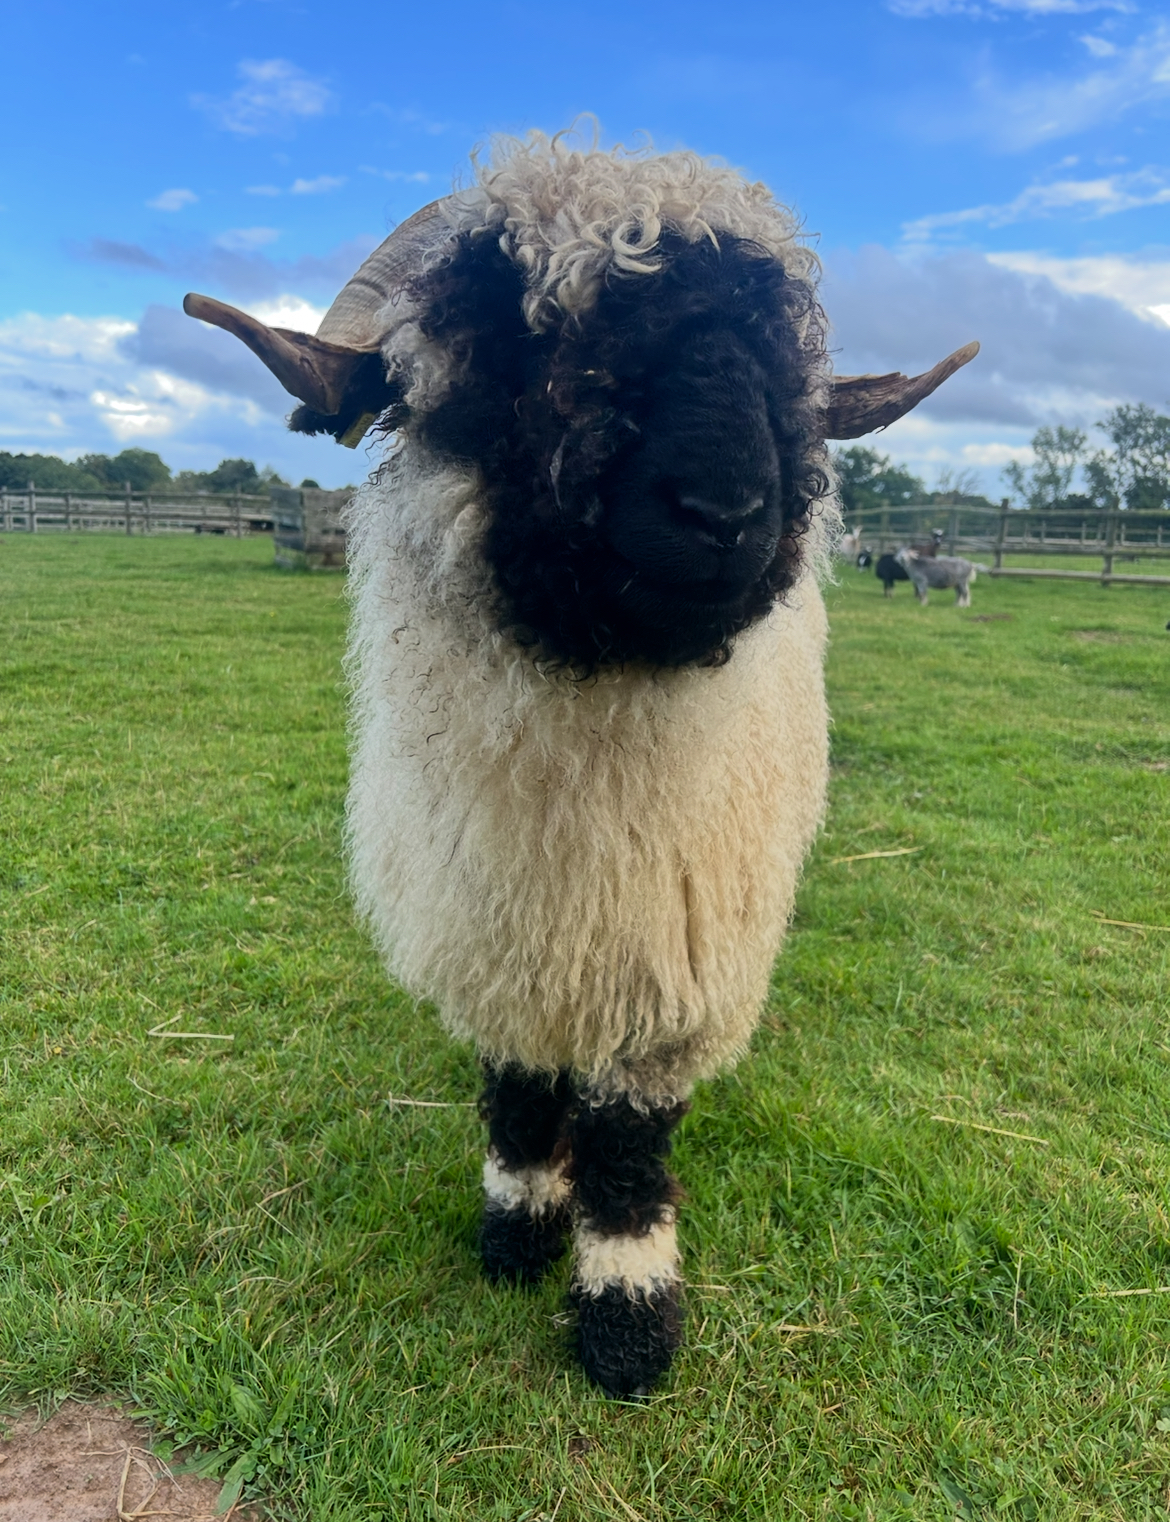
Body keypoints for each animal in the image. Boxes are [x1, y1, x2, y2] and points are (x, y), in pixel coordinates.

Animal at [184, 130, 978, 1397]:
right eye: (518, 338)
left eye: (781, 358)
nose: (725, 508)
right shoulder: (499, 923)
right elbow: (519, 1092)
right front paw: (515, 1231)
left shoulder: (670, 953)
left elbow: (625, 1142)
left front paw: (626, 1321)